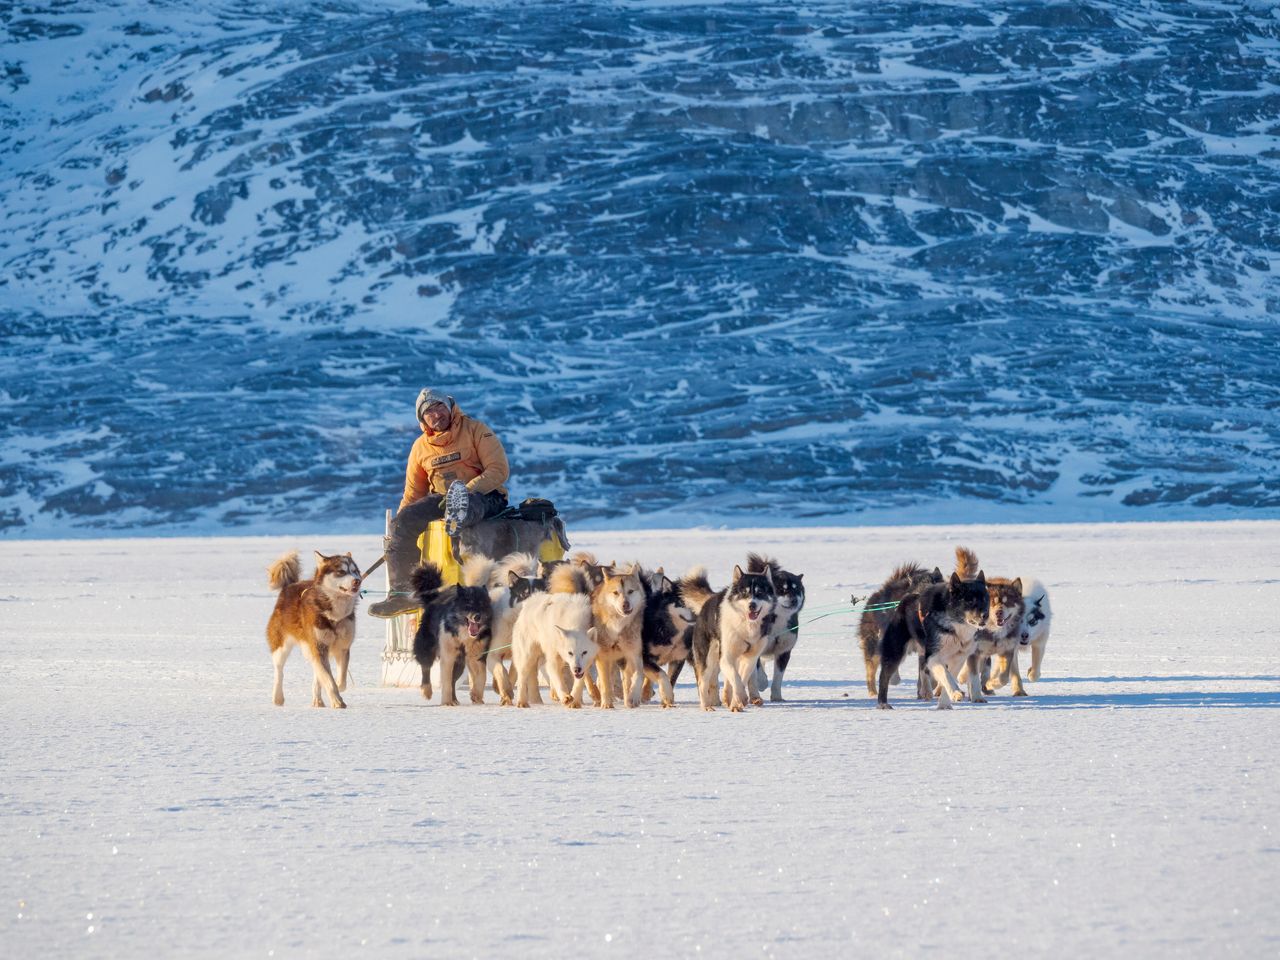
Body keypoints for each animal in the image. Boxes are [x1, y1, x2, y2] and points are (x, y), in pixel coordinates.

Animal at [266, 552, 363, 711]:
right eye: (341, 571)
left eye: (355, 571)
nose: (357, 581)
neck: (335, 614)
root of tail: (289, 586)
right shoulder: (319, 645)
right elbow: (329, 681)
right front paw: (337, 701)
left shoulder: (342, 647)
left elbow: (340, 680)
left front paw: (337, 687)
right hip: (282, 646)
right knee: (279, 671)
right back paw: (278, 697)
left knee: (317, 672)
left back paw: (317, 700)